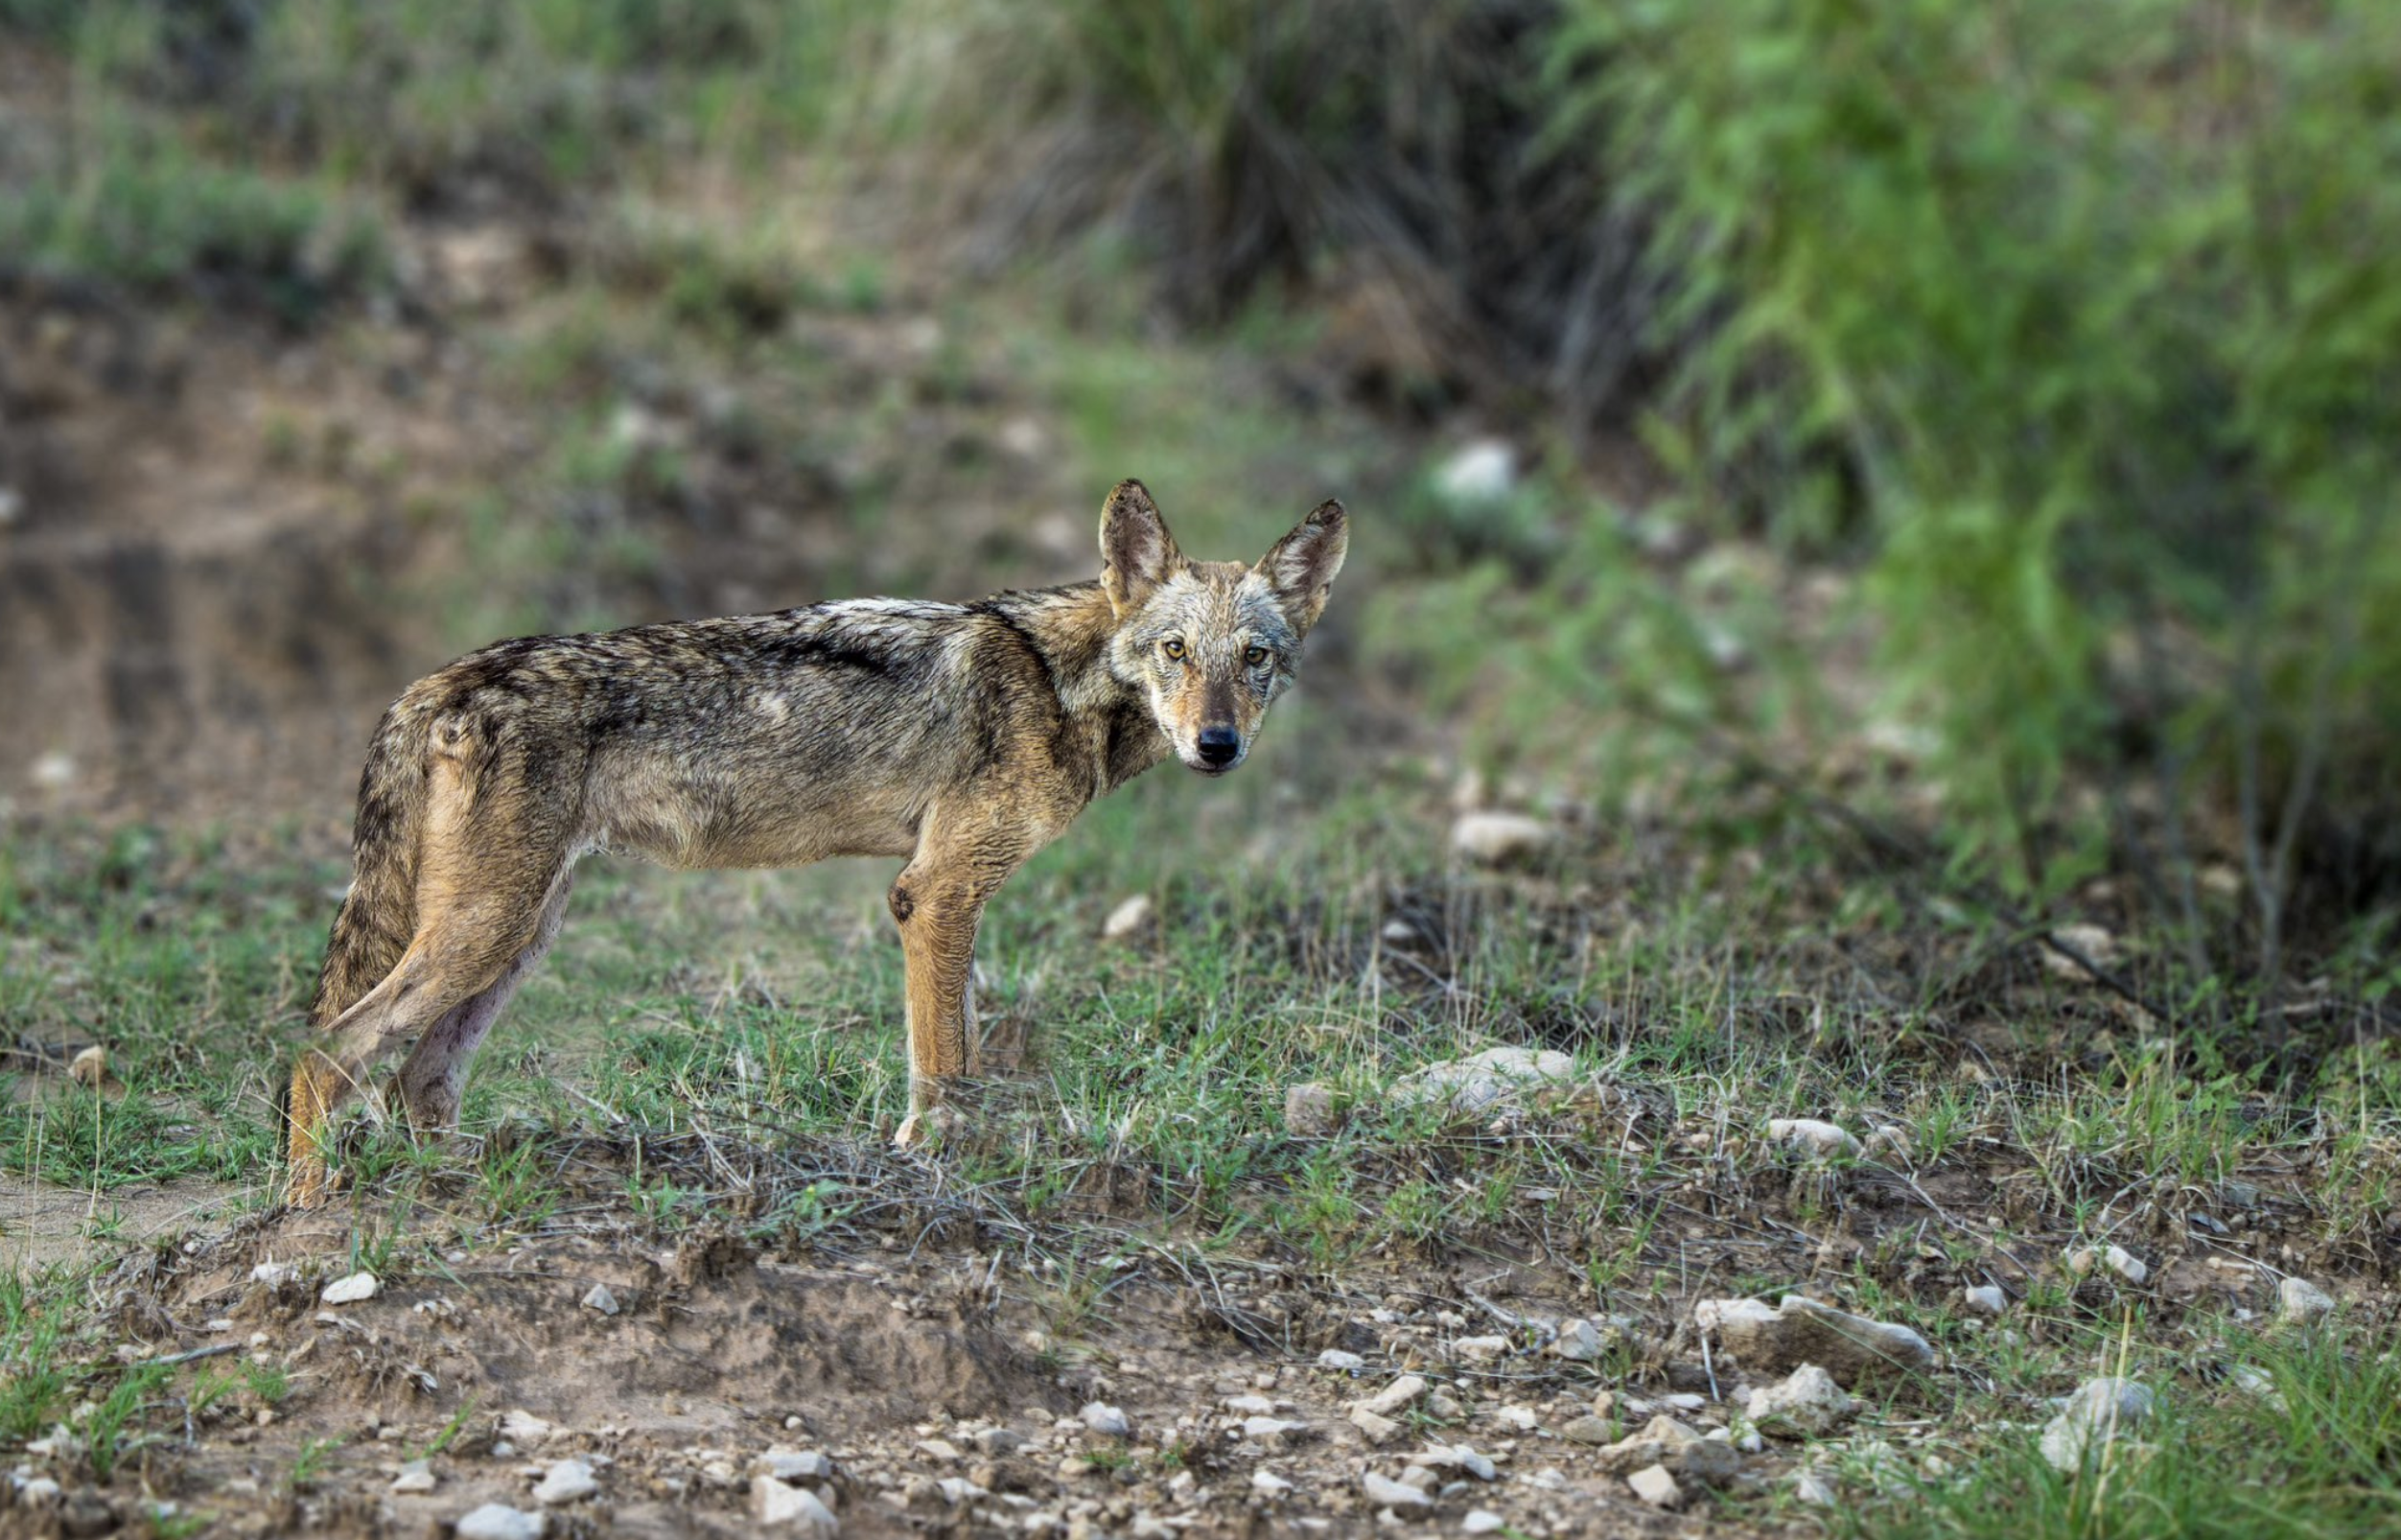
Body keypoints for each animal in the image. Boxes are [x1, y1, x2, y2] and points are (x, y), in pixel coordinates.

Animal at [280, 480, 1348, 1204]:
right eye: (1175, 652)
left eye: (1254, 659)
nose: (1218, 745)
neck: (1057, 681)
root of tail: (436, 681)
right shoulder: (933, 892)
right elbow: (943, 1061)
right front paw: (929, 1154)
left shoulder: (952, 897)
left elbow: (962, 1044)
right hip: (484, 932)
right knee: (328, 1047)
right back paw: (308, 1211)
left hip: (516, 939)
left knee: (415, 1079)